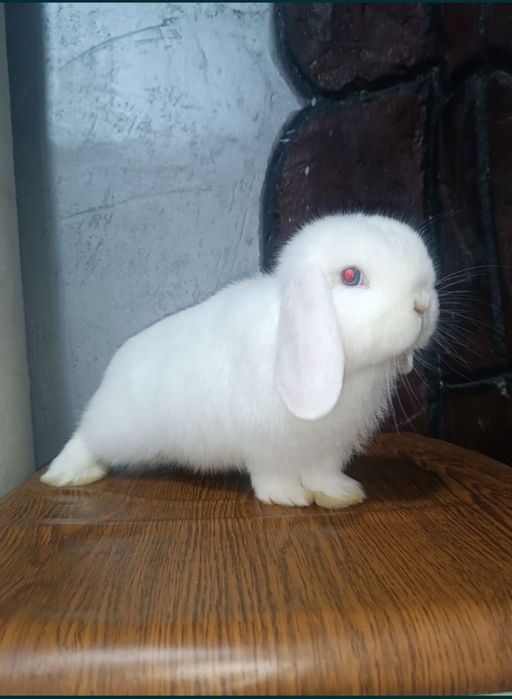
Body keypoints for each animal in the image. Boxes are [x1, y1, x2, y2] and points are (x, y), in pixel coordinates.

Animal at [41, 213, 439, 509]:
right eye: (351, 276)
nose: (423, 304)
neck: (351, 369)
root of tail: (114, 369)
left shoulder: (328, 447)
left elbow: (323, 474)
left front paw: (340, 495)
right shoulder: (266, 444)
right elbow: (272, 475)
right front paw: (289, 498)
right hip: (121, 429)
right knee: (86, 437)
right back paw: (67, 474)